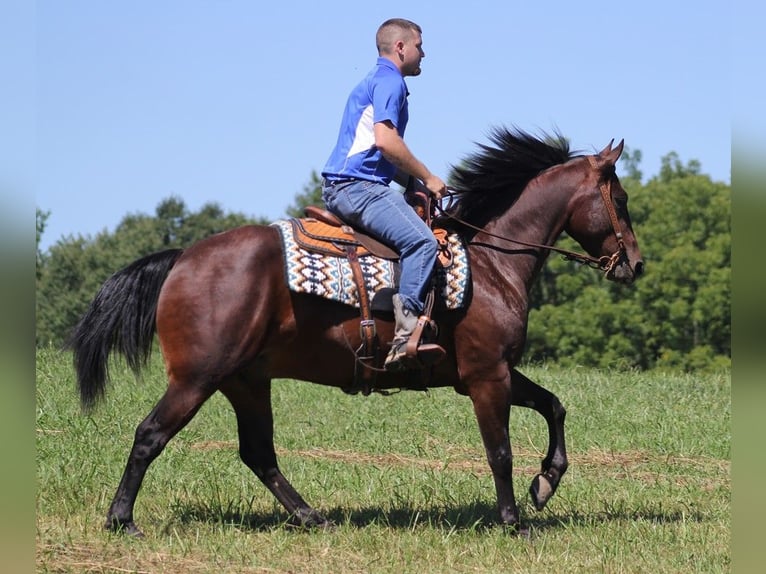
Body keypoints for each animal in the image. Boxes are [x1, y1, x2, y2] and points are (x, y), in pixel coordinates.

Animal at [70, 128, 648, 536]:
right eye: (620, 201)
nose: (635, 265)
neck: (489, 263)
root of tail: (183, 258)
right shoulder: (488, 376)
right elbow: (500, 451)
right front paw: (513, 522)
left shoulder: (491, 372)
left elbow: (554, 406)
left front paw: (545, 483)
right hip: (197, 378)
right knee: (150, 435)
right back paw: (122, 520)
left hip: (245, 381)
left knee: (259, 454)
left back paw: (311, 517)